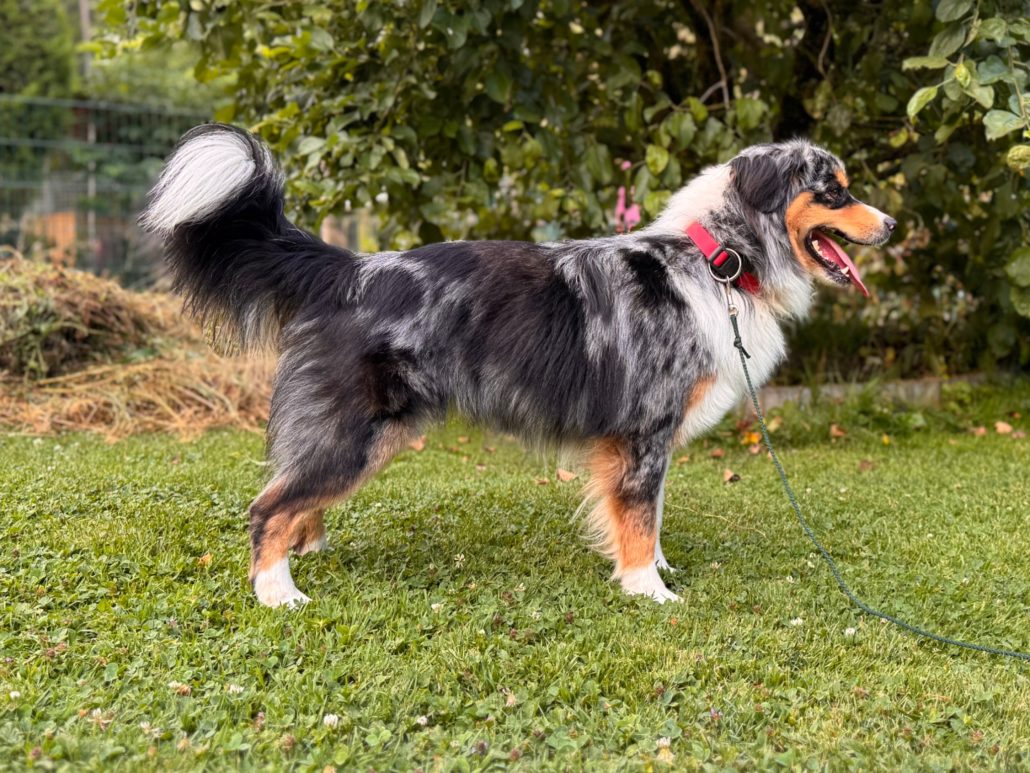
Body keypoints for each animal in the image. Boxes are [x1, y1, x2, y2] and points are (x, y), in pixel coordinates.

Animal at [140, 124, 895, 608]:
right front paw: (649, 588)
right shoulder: (644, 430)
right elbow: (639, 512)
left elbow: (647, 513)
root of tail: (351, 268)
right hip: (358, 431)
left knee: (294, 493)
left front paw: (652, 566)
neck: (716, 259)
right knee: (267, 504)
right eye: (834, 192)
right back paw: (277, 591)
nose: (891, 225)